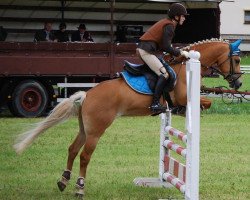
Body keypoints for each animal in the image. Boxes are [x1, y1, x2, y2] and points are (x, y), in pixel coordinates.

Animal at [13, 38, 242, 198]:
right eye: (237, 59)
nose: (238, 84)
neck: (185, 67)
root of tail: (88, 95)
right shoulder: (183, 97)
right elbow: (205, 102)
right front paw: (194, 112)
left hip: (85, 128)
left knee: (72, 149)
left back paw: (63, 180)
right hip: (96, 130)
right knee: (85, 156)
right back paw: (79, 187)